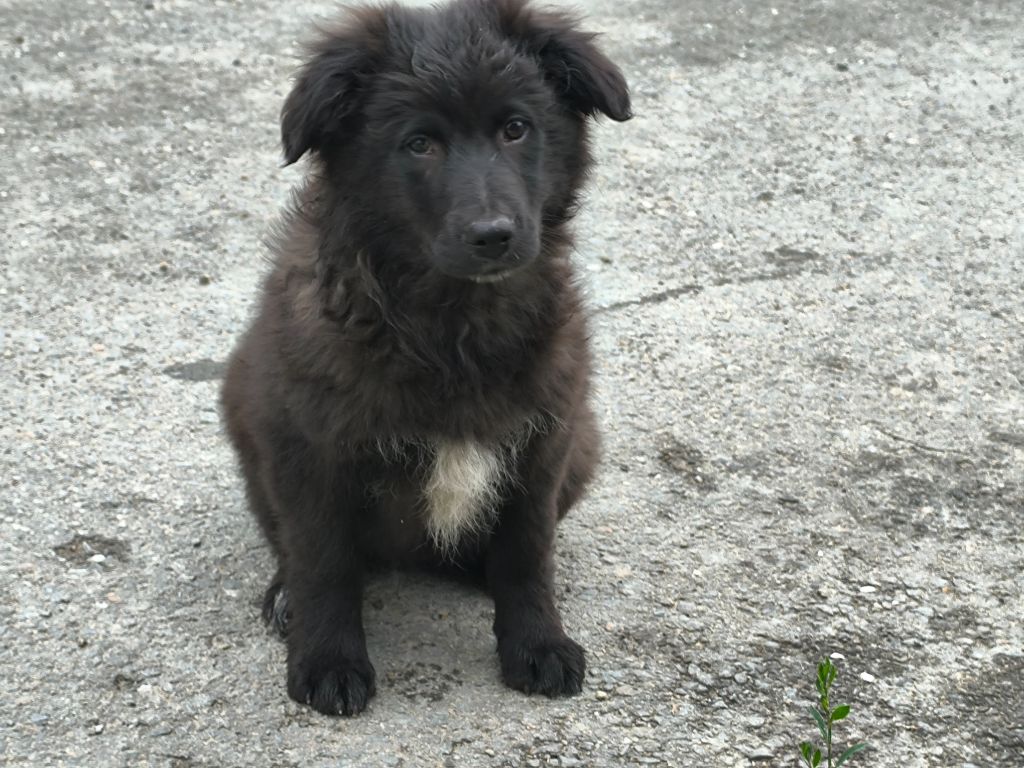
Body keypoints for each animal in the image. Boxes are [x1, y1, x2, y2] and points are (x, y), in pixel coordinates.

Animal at [220, 0, 626, 716]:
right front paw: (327, 660)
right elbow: (323, 561)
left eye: (516, 129)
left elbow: (527, 553)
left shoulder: (544, 440)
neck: (449, 326)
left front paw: (537, 644)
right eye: (419, 144)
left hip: (585, 445)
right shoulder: (309, 446)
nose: (493, 236)